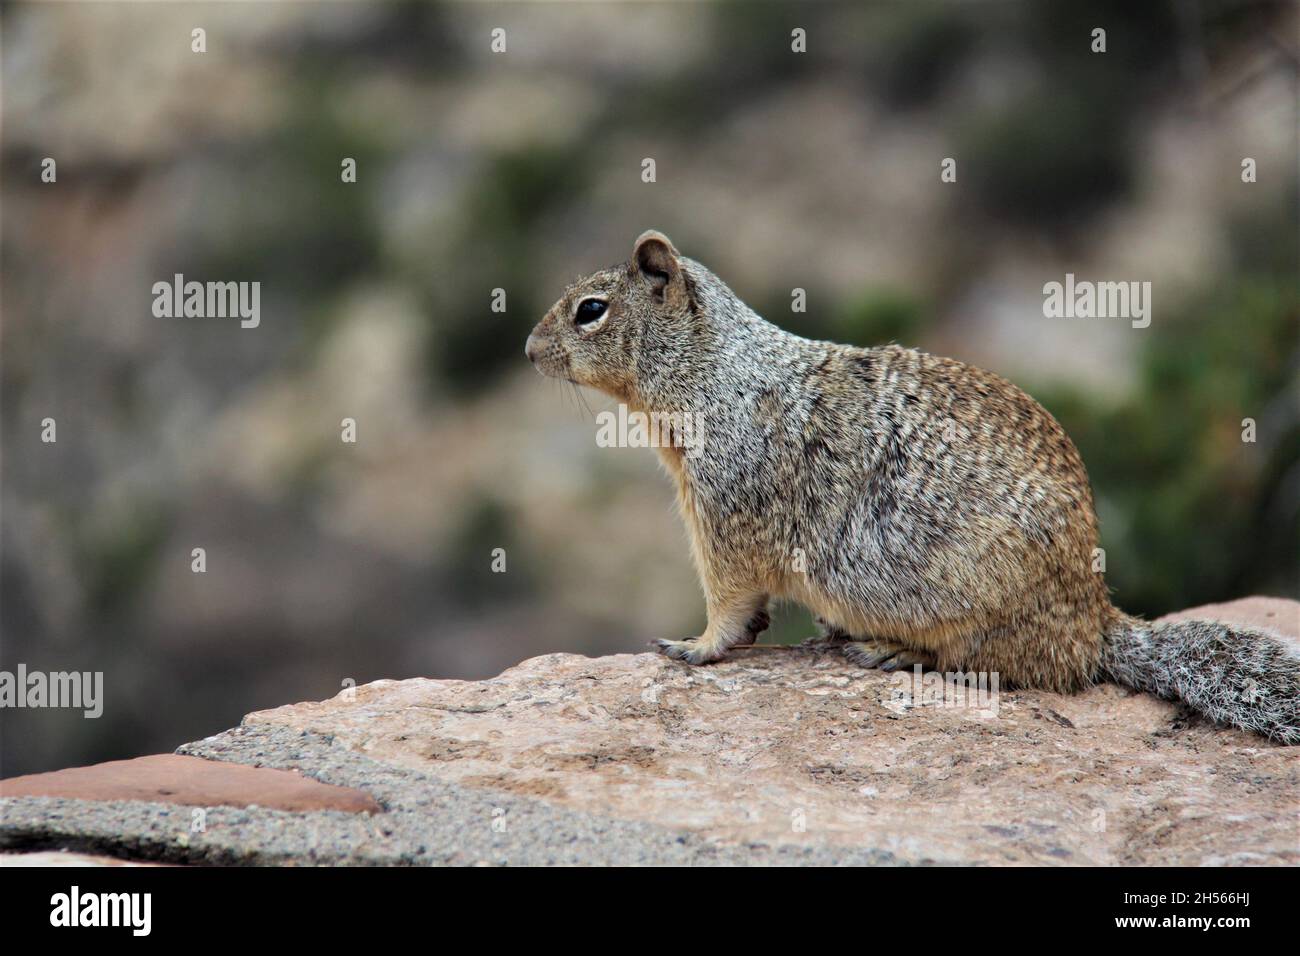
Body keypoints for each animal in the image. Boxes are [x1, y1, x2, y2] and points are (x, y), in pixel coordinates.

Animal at [525, 227, 1300, 743]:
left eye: (590, 309)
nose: (529, 350)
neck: (717, 370)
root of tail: (1095, 621)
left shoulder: (725, 508)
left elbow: (729, 597)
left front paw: (693, 646)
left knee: (1000, 664)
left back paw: (893, 649)